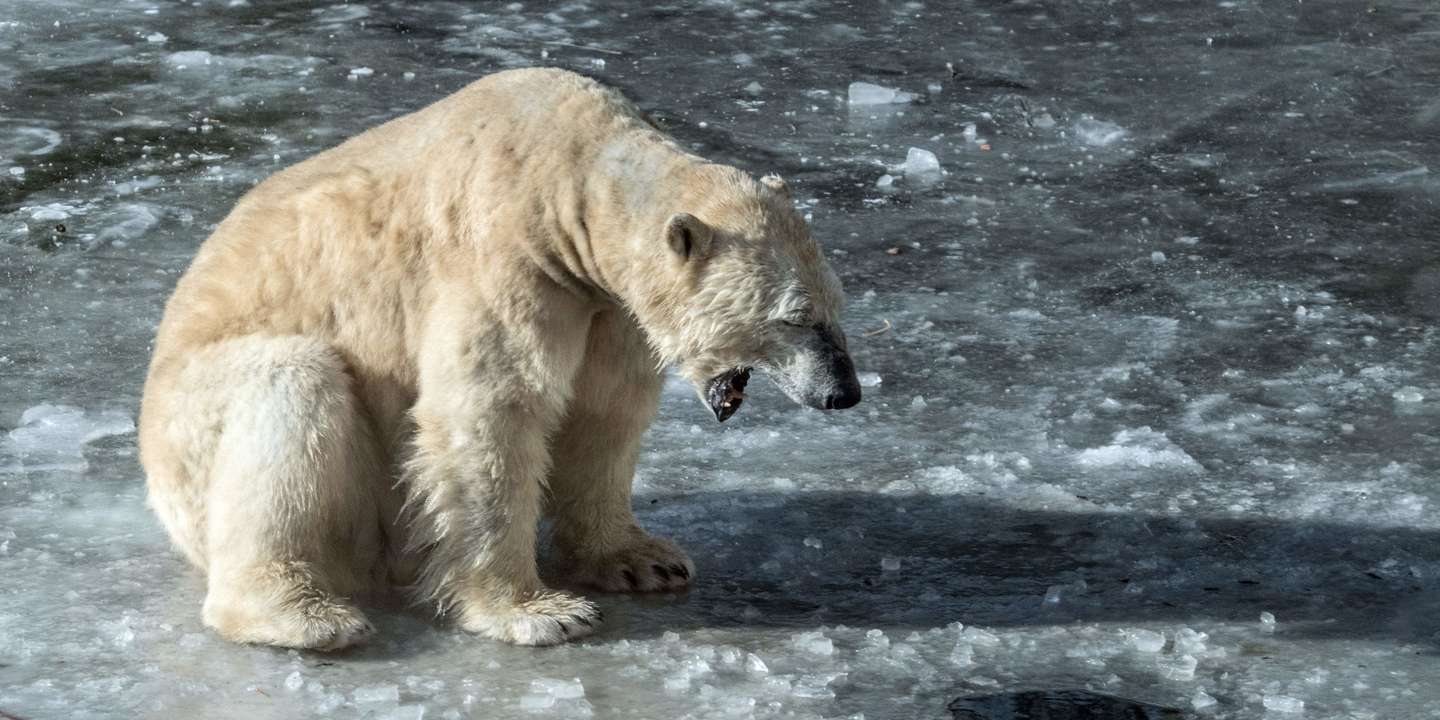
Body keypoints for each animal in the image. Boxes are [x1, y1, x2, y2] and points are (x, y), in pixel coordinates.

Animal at [138, 67, 862, 649]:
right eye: (795, 316)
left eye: (838, 305)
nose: (844, 393)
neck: (567, 180)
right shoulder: (505, 263)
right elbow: (489, 416)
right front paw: (540, 612)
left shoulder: (607, 310)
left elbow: (605, 414)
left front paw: (646, 559)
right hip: (192, 429)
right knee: (291, 388)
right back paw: (305, 617)